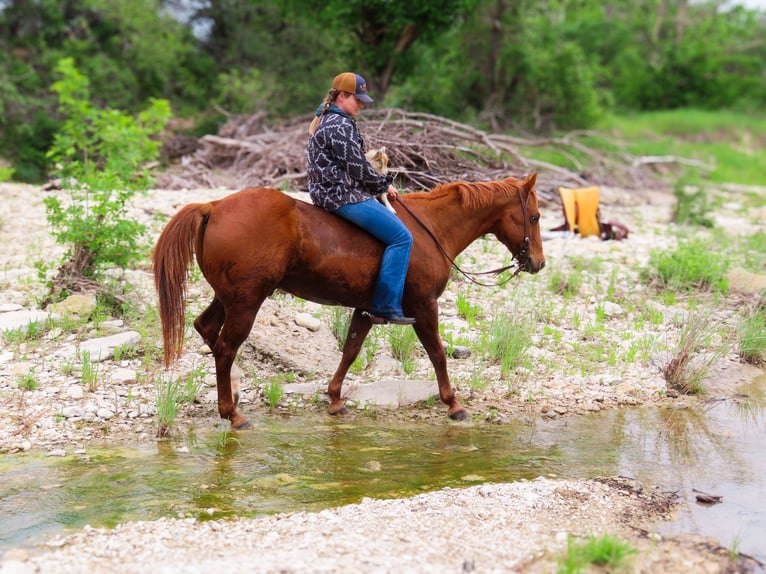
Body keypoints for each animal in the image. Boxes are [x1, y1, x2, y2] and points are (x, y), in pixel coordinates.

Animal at [152, 173, 544, 430]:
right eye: (536, 216)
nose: (538, 263)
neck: (431, 229)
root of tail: (213, 206)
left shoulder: (366, 309)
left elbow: (350, 350)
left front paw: (336, 399)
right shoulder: (423, 307)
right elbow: (437, 353)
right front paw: (454, 404)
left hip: (229, 298)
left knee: (207, 331)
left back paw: (229, 400)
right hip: (247, 302)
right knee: (225, 349)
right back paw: (232, 414)